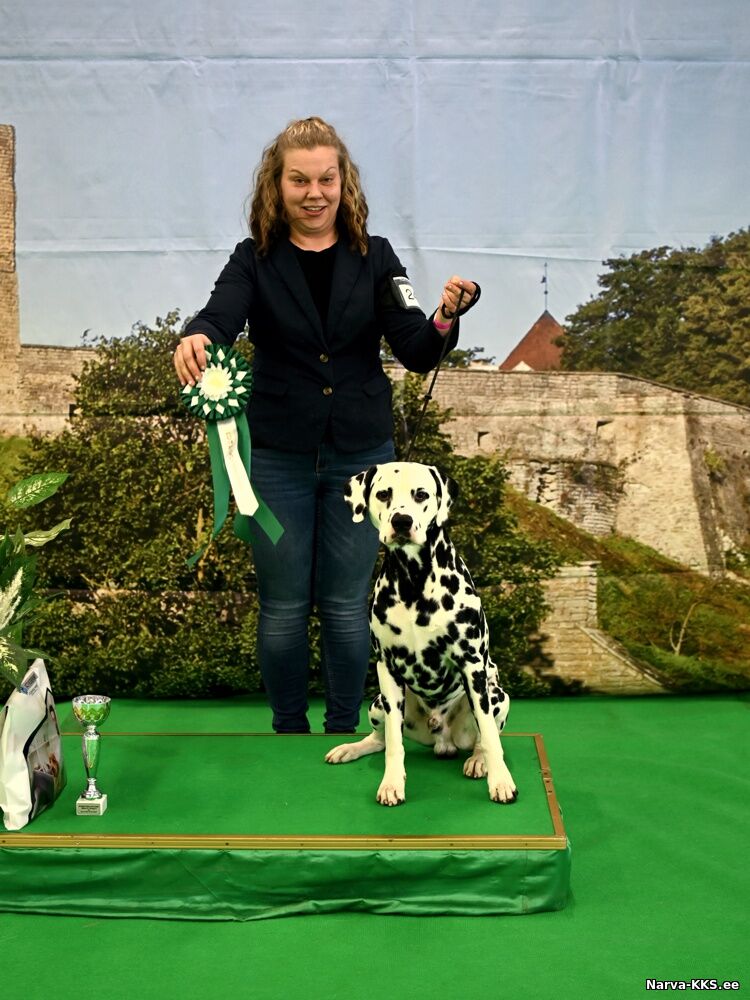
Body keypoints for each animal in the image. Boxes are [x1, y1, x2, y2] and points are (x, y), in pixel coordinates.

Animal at [325, 461, 517, 807]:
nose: (402, 521)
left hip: (497, 695)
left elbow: (490, 735)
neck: (413, 581)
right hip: (377, 703)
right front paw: (391, 783)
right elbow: (394, 743)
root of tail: (441, 737)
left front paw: (500, 780)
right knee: (380, 740)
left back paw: (478, 760)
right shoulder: (387, 668)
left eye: (422, 494)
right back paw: (352, 748)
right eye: (383, 494)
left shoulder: (472, 666)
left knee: (485, 736)